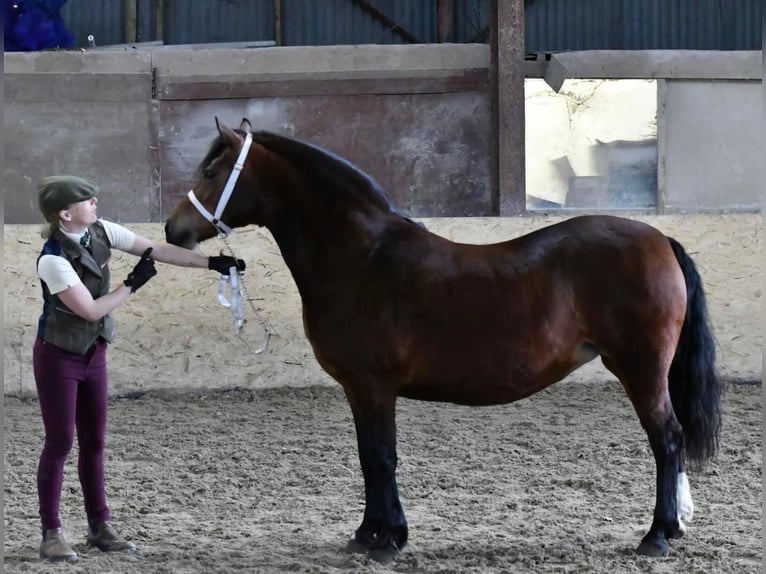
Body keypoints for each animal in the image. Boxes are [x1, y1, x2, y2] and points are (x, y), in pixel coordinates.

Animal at [165, 118, 724, 568]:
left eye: (211, 172)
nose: (173, 230)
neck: (360, 257)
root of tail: (659, 239)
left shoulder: (373, 386)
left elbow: (381, 457)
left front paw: (388, 540)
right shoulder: (357, 390)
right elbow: (369, 457)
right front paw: (368, 535)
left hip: (640, 369)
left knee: (667, 439)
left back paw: (657, 535)